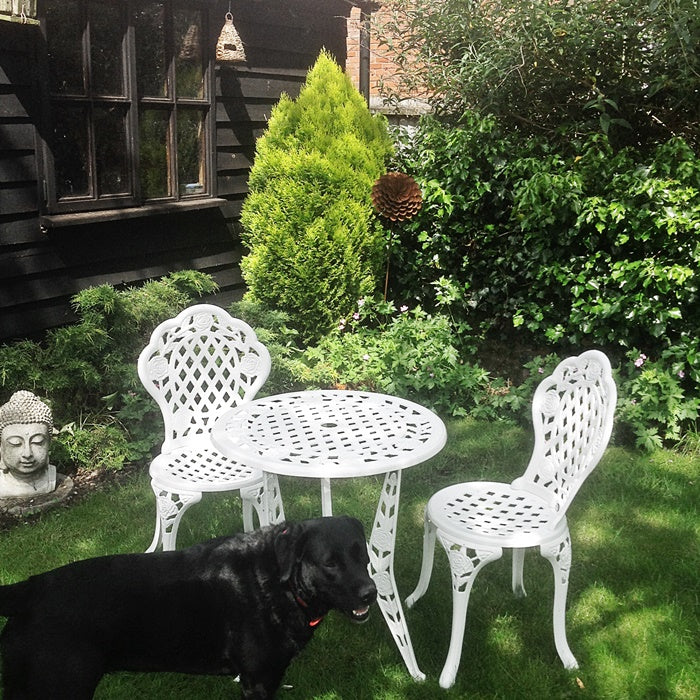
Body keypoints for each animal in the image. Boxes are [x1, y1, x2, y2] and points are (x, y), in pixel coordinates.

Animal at [0, 516, 378, 700]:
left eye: (362, 553)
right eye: (330, 564)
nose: (370, 594)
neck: (274, 582)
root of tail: (29, 588)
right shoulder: (257, 682)